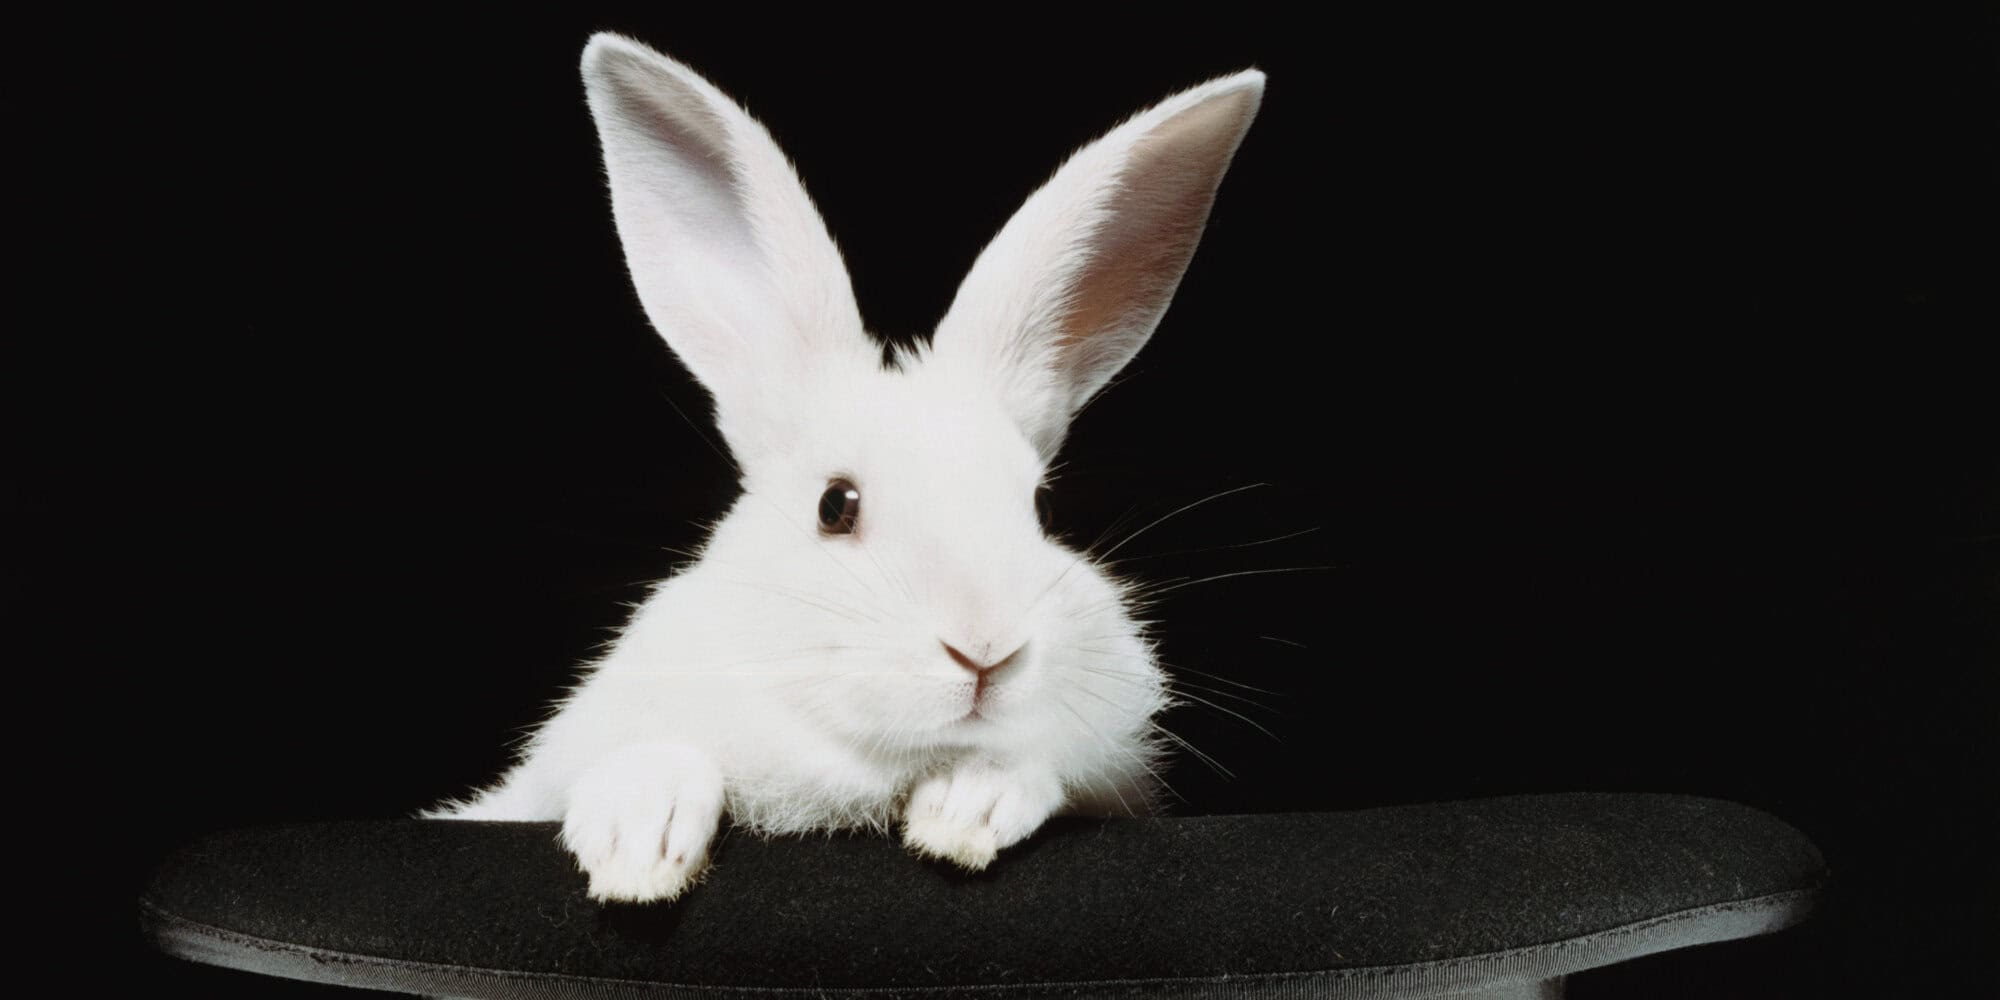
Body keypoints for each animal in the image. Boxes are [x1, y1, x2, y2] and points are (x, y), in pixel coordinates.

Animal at [434, 33, 1264, 908]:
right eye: (836, 505)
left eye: (1039, 508)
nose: (985, 650)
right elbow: (640, 756)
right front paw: (639, 844)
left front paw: (969, 808)